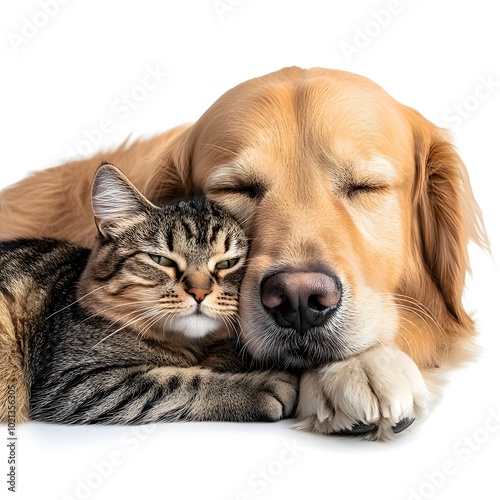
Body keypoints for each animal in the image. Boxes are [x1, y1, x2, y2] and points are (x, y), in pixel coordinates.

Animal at [0, 165, 296, 426]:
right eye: (161, 260)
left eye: (227, 263)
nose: (200, 291)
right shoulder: (74, 381)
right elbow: (182, 381)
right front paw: (260, 385)